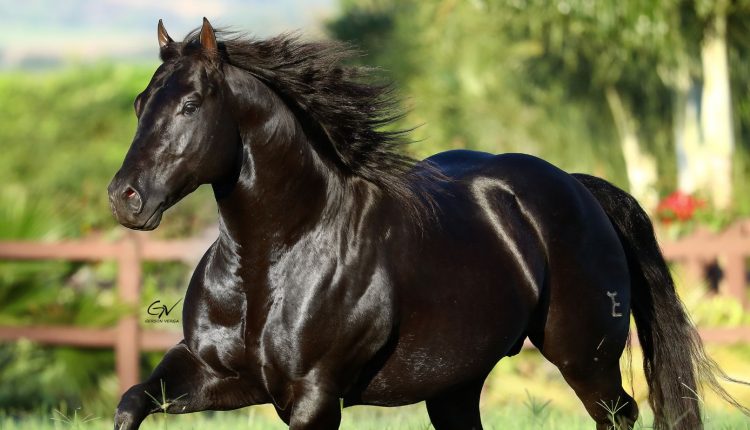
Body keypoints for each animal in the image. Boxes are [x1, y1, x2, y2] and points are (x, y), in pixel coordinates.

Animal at [107, 18, 744, 430]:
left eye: (189, 105)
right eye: (139, 104)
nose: (125, 198)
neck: (274, 260)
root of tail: (578, 187)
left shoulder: (313, 397)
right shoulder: (209, 372)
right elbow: (131, 402)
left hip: (585, 359)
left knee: (620, 414)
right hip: (456, 384)